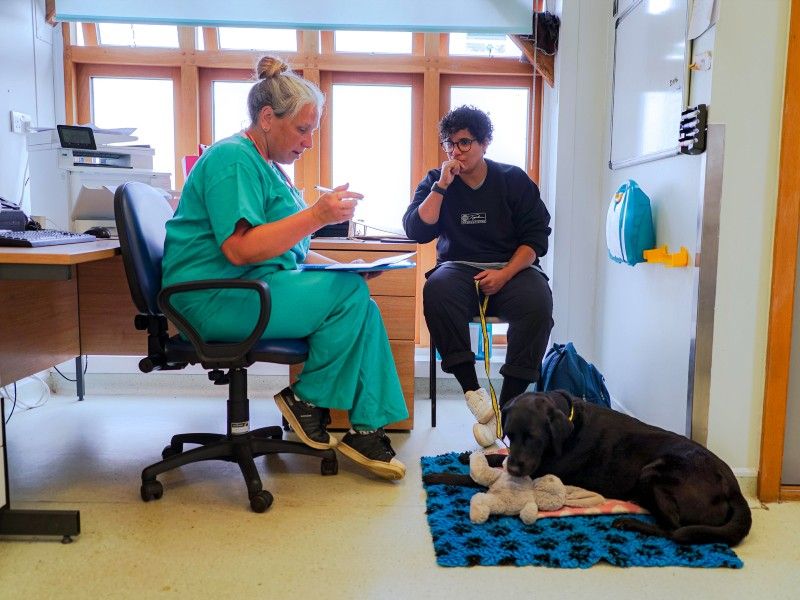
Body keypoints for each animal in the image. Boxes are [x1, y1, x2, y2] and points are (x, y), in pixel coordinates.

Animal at [428, 392, 752, 548]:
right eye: (509, 434)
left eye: (534, 437)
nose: (517, 468)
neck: (570, 425)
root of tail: (734, 489)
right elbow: (498, 459)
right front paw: (470, 457)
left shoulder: (538, 471)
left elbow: (477, 478)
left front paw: (438, 475)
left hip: (653, 472)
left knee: (674, 530)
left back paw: (628, 523)